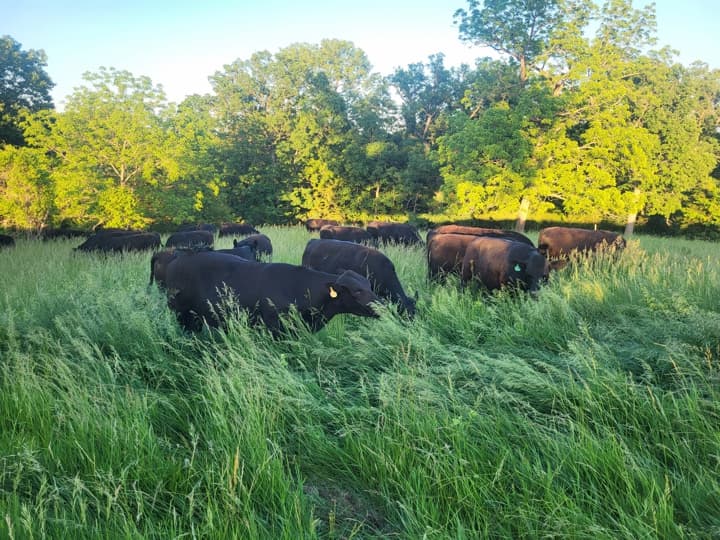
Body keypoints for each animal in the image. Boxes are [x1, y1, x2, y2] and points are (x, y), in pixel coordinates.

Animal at [163, 251, 380, 334]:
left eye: (369, 286)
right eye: (357, 291)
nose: (381, 308)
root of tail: (178, 257)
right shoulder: (274, 329)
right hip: (182, 315)